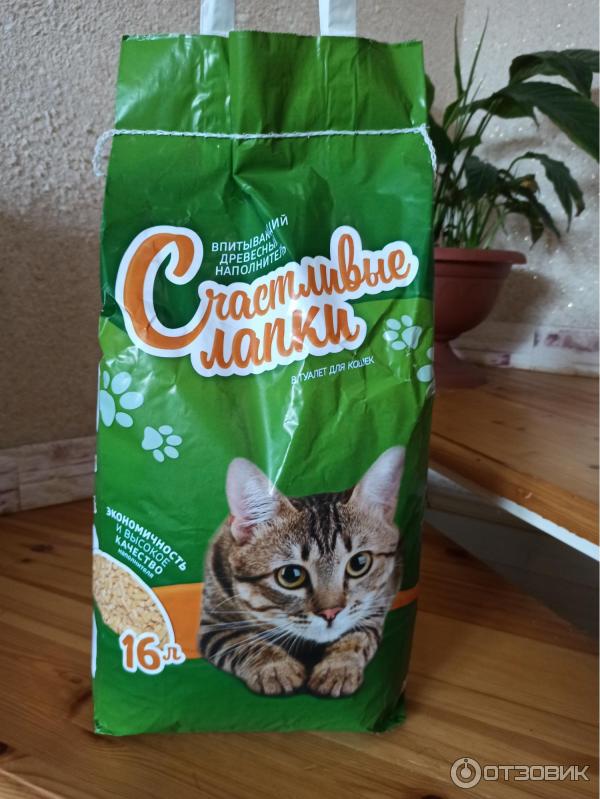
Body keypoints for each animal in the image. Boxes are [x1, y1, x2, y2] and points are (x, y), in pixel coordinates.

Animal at [198, 447, 405, 697]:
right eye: (291, 575)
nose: (331, 613)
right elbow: (244, 642)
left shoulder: (378, 602)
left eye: (359, 563)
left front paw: (338, 668)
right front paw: (275, 668)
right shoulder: (213, 623)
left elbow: (357, 636)